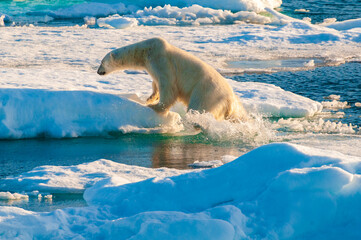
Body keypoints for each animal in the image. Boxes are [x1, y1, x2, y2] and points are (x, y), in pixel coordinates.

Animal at [96, 37, 248, 122]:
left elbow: (168, 85)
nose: (98, 72)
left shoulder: (161, 60)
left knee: (198, 107)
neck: (146, 51)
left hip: (207, 93)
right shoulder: (152, 65)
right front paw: (150, 98)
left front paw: (155, 107)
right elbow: (156, 82)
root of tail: (230, 100)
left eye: (102, 62)